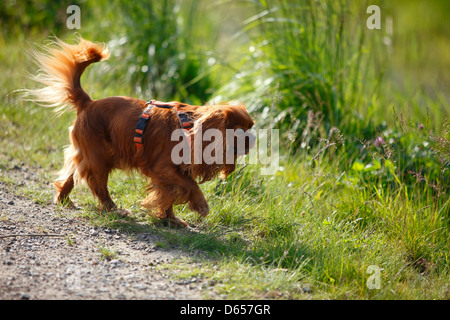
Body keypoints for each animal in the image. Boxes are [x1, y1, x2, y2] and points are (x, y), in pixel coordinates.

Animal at [24, 37, 255, 228]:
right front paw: (201, 205)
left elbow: (169, 194)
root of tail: (88, 103)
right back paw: (113, 209)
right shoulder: (162, 168)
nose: (253, 139)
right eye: (241, 132)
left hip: (89, 154)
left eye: (251, 128)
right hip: (100, 159)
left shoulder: (170, 174)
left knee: (71, 175)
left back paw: (63, 199)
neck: (189, 127)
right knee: (97, 185)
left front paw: (171, 219)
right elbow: (189, 186)